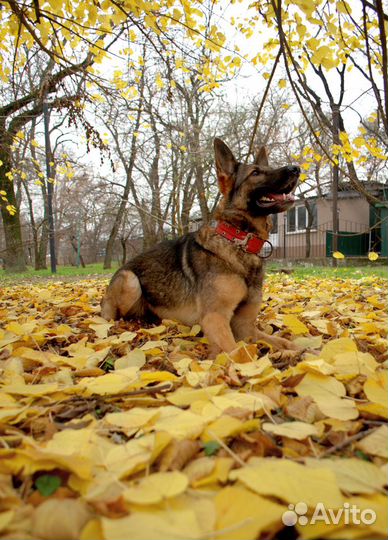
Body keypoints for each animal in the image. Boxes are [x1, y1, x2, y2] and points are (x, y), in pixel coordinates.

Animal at [101, 139, 300, 356]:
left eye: (269, 168)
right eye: (255, 173)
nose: (296, 168)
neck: (238, 241)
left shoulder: (244, 326)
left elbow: (285, 343)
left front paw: (304, 352)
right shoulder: (215, 318)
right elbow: (238, 354)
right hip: (130, 280)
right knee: (116, 316)